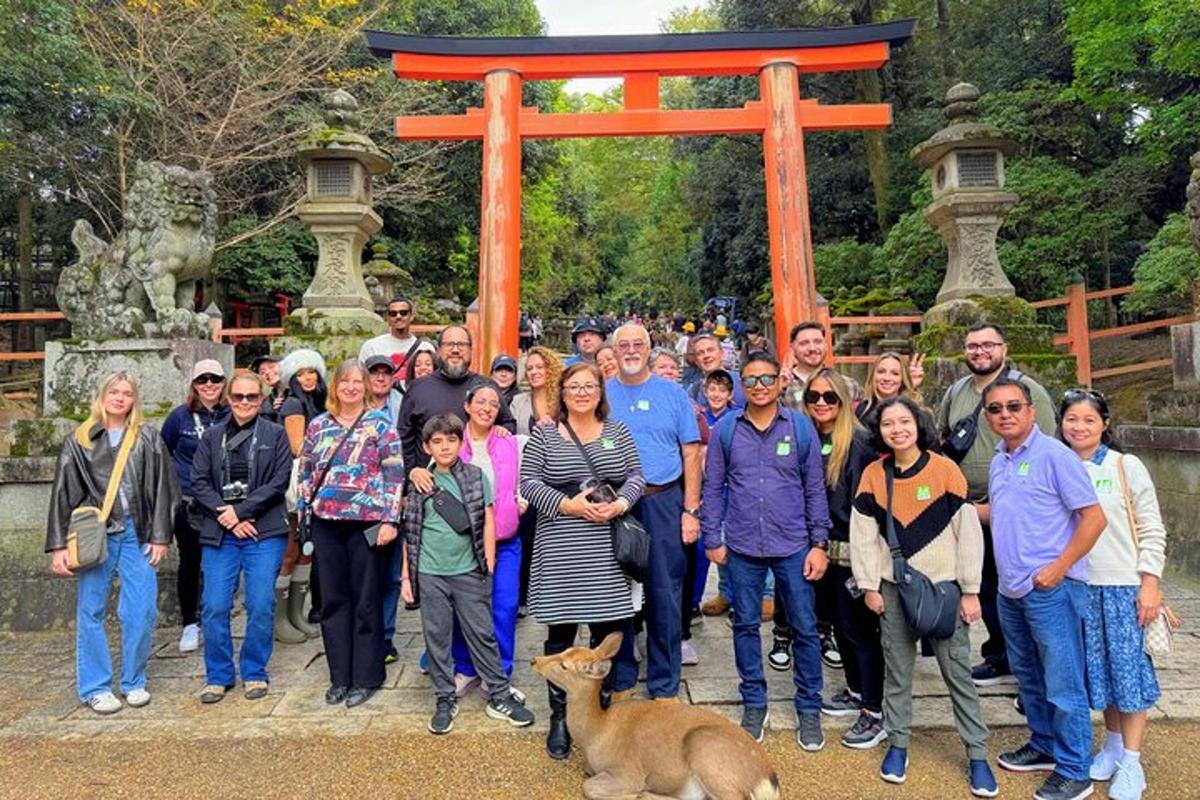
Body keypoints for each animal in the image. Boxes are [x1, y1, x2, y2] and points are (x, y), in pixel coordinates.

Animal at [532, 633, 777, 800]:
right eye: (565, 650)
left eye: (564, 666)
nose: (535, 660)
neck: (595, 732)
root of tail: (769, 780)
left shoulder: (627, 770)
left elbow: (589, 787)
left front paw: (635, 793)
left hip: (706, 749)